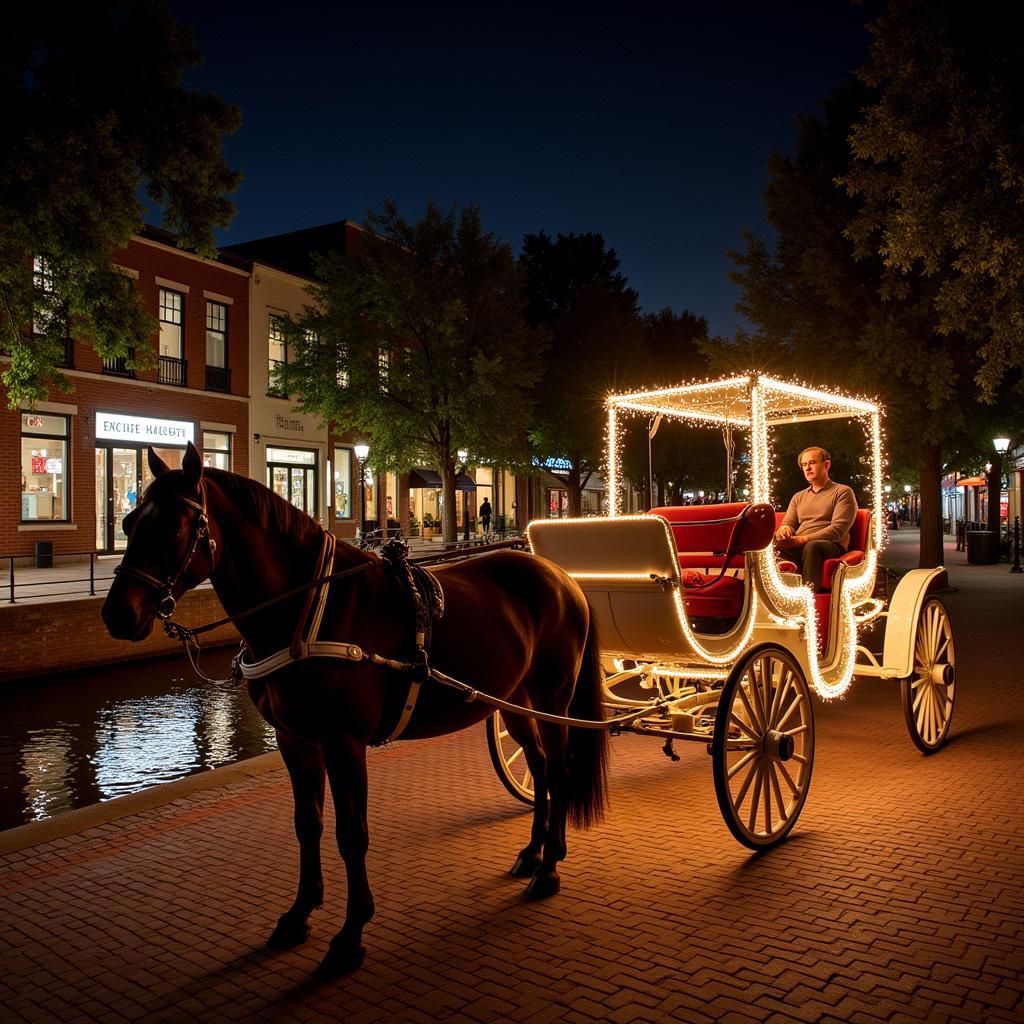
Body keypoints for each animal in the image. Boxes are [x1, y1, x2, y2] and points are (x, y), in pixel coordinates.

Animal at [99, 444, 606, 978]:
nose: (117, 613)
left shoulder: (344, 742)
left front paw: (349, 935)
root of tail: (561, 576)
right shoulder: (296, 740)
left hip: (552, 698)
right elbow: (308, 824)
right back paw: (534, 853)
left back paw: (549, 868)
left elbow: (351, 833)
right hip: (514, 701)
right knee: (541, 769)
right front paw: (298, 914)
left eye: (175, 526)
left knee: (559, 770)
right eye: (129, 521)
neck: (308, 607)